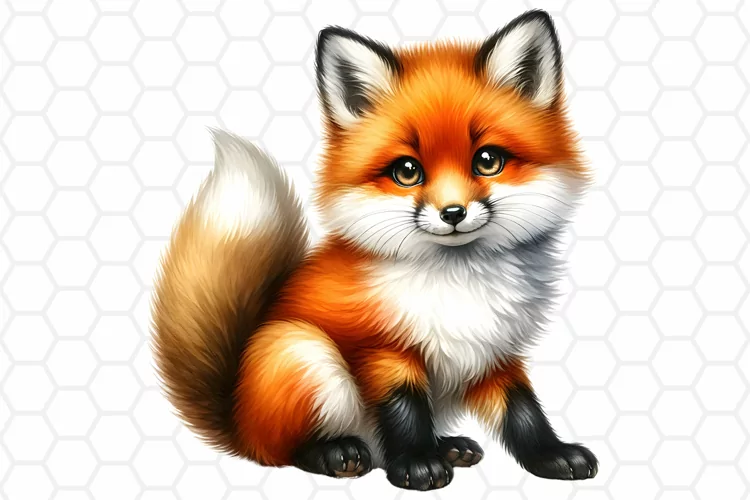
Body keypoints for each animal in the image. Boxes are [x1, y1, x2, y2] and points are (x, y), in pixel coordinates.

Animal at [152, 9, 597, 491]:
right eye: (407, 171)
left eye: (487, 161)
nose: (453, 213)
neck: (459, 288)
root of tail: (235, 416)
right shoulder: (383, 349)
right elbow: (404, 411)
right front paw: (417, 465)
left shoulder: (494, 353)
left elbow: (523, 413)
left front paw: (551, 456)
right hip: (303, 353)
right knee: (283, 453)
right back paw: (337, 453)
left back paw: (448, 446)